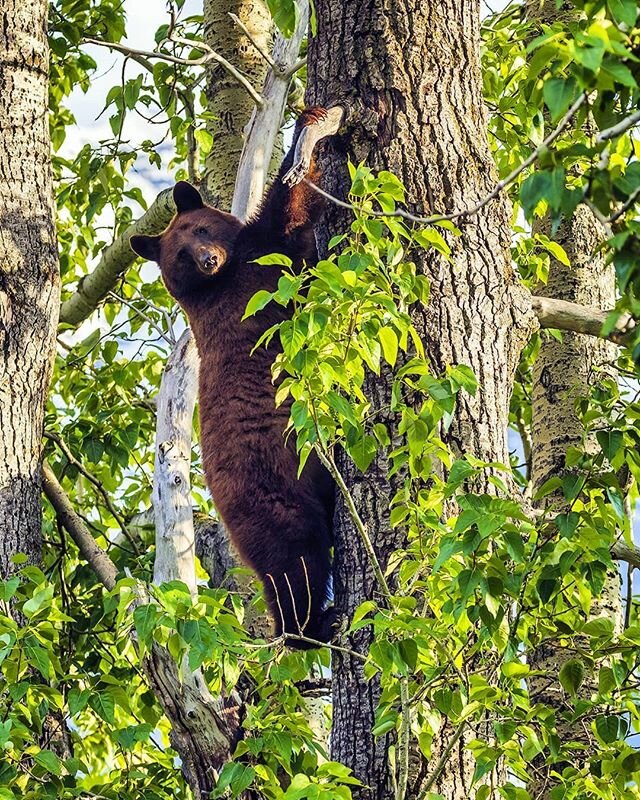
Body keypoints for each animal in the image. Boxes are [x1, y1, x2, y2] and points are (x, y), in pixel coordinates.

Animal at [130, 108, 340, 644]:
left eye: (202, 229)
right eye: (180, 253)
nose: (207, 259)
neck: (213, 285)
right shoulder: (259, 274)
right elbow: (286, 215)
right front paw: (311, 128)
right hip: (275, 495)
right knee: (296, 563)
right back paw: (314, 625)